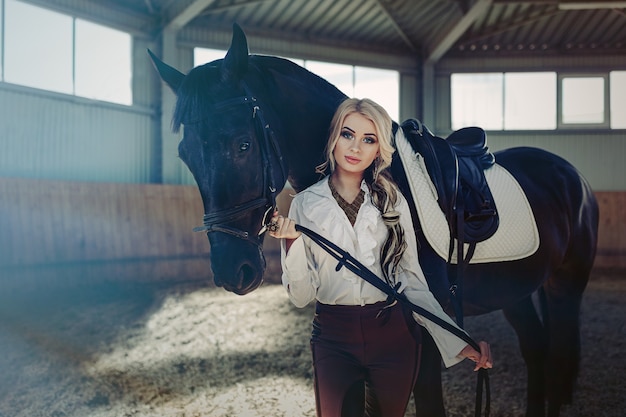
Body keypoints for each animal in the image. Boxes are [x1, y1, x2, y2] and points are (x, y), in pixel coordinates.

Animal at [149, 24, 596, 416]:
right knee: (537, 350)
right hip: (517, 291)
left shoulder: (428, 325)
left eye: (242, 145)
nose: (232, 270)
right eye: (186, 155)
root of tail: (572, 176)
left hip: (565, 285)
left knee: (558, 356)